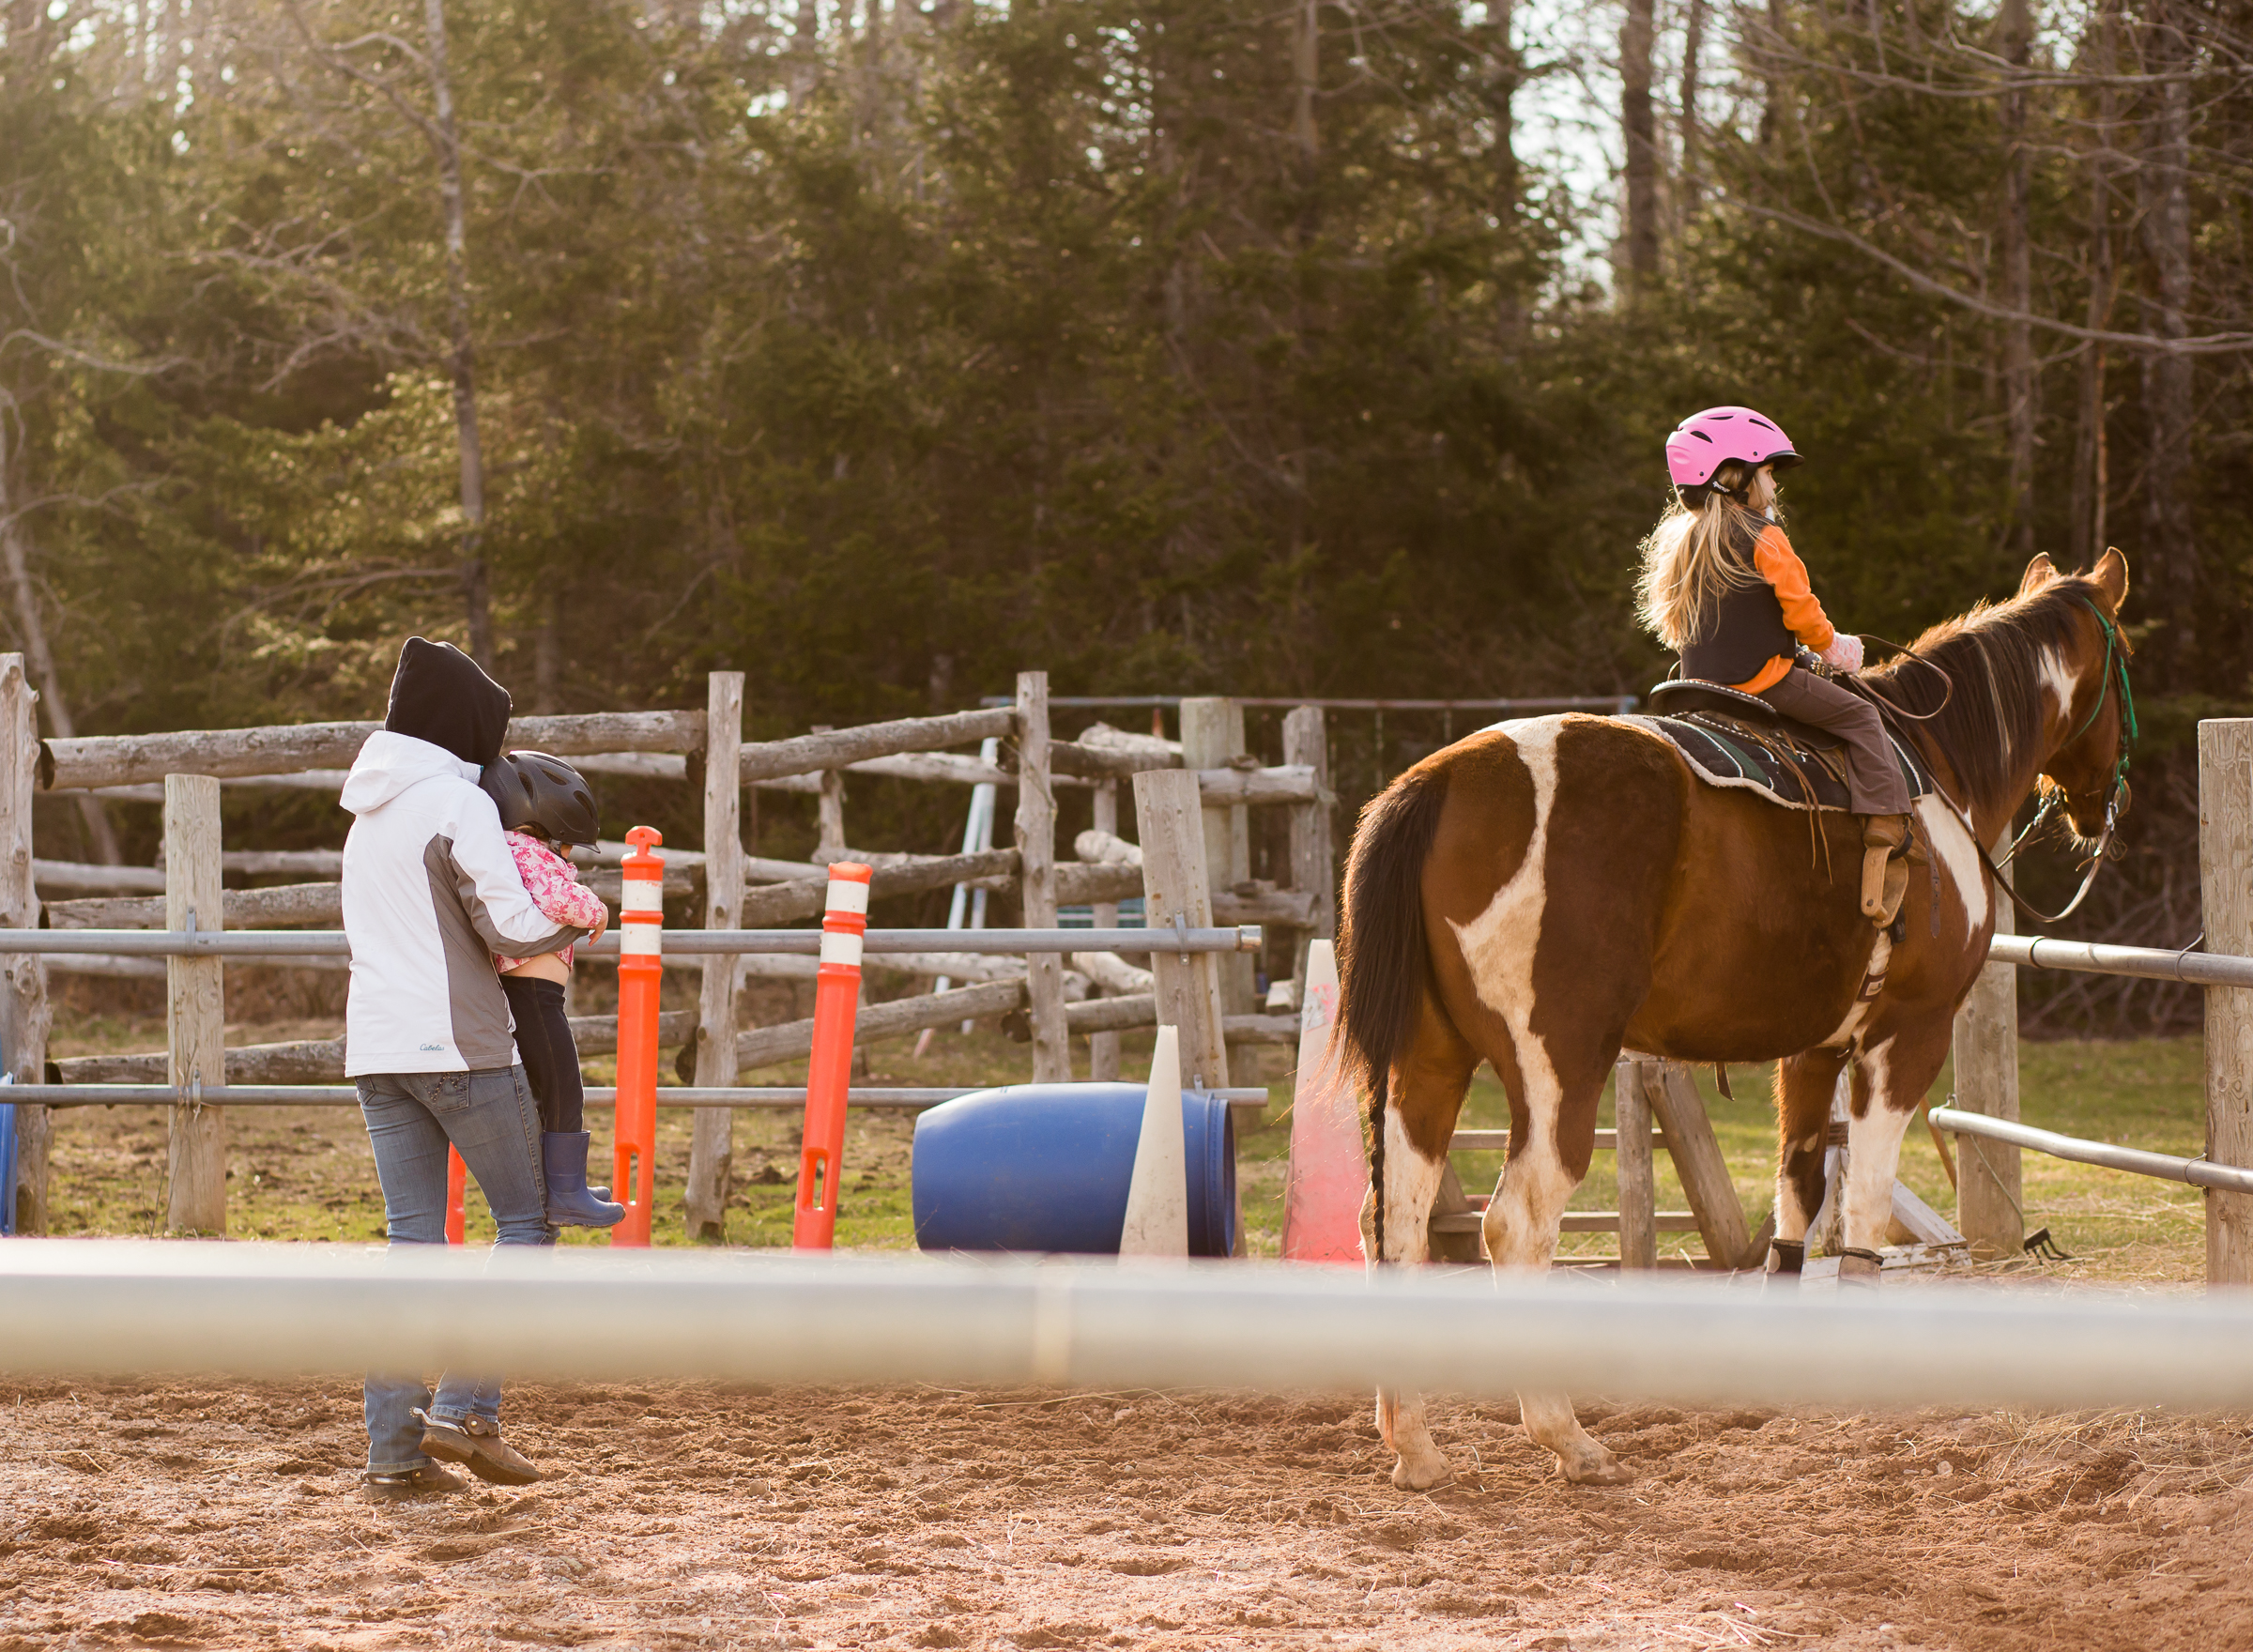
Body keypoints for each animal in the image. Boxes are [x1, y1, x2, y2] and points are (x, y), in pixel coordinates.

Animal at [1333, 547, 2126, 1487]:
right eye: (2122, 664)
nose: (2100, 814)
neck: (1940, 771)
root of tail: (1440, 781)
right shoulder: (1907, 1036)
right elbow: (1863, 1200)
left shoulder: (1812, 1049)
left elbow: (1799, 1195)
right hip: (1557, 1067)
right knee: (1516, 1222)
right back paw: (1565, 1434)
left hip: (1429, 1060)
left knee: (1396, 1215)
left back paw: (1415, 1445)